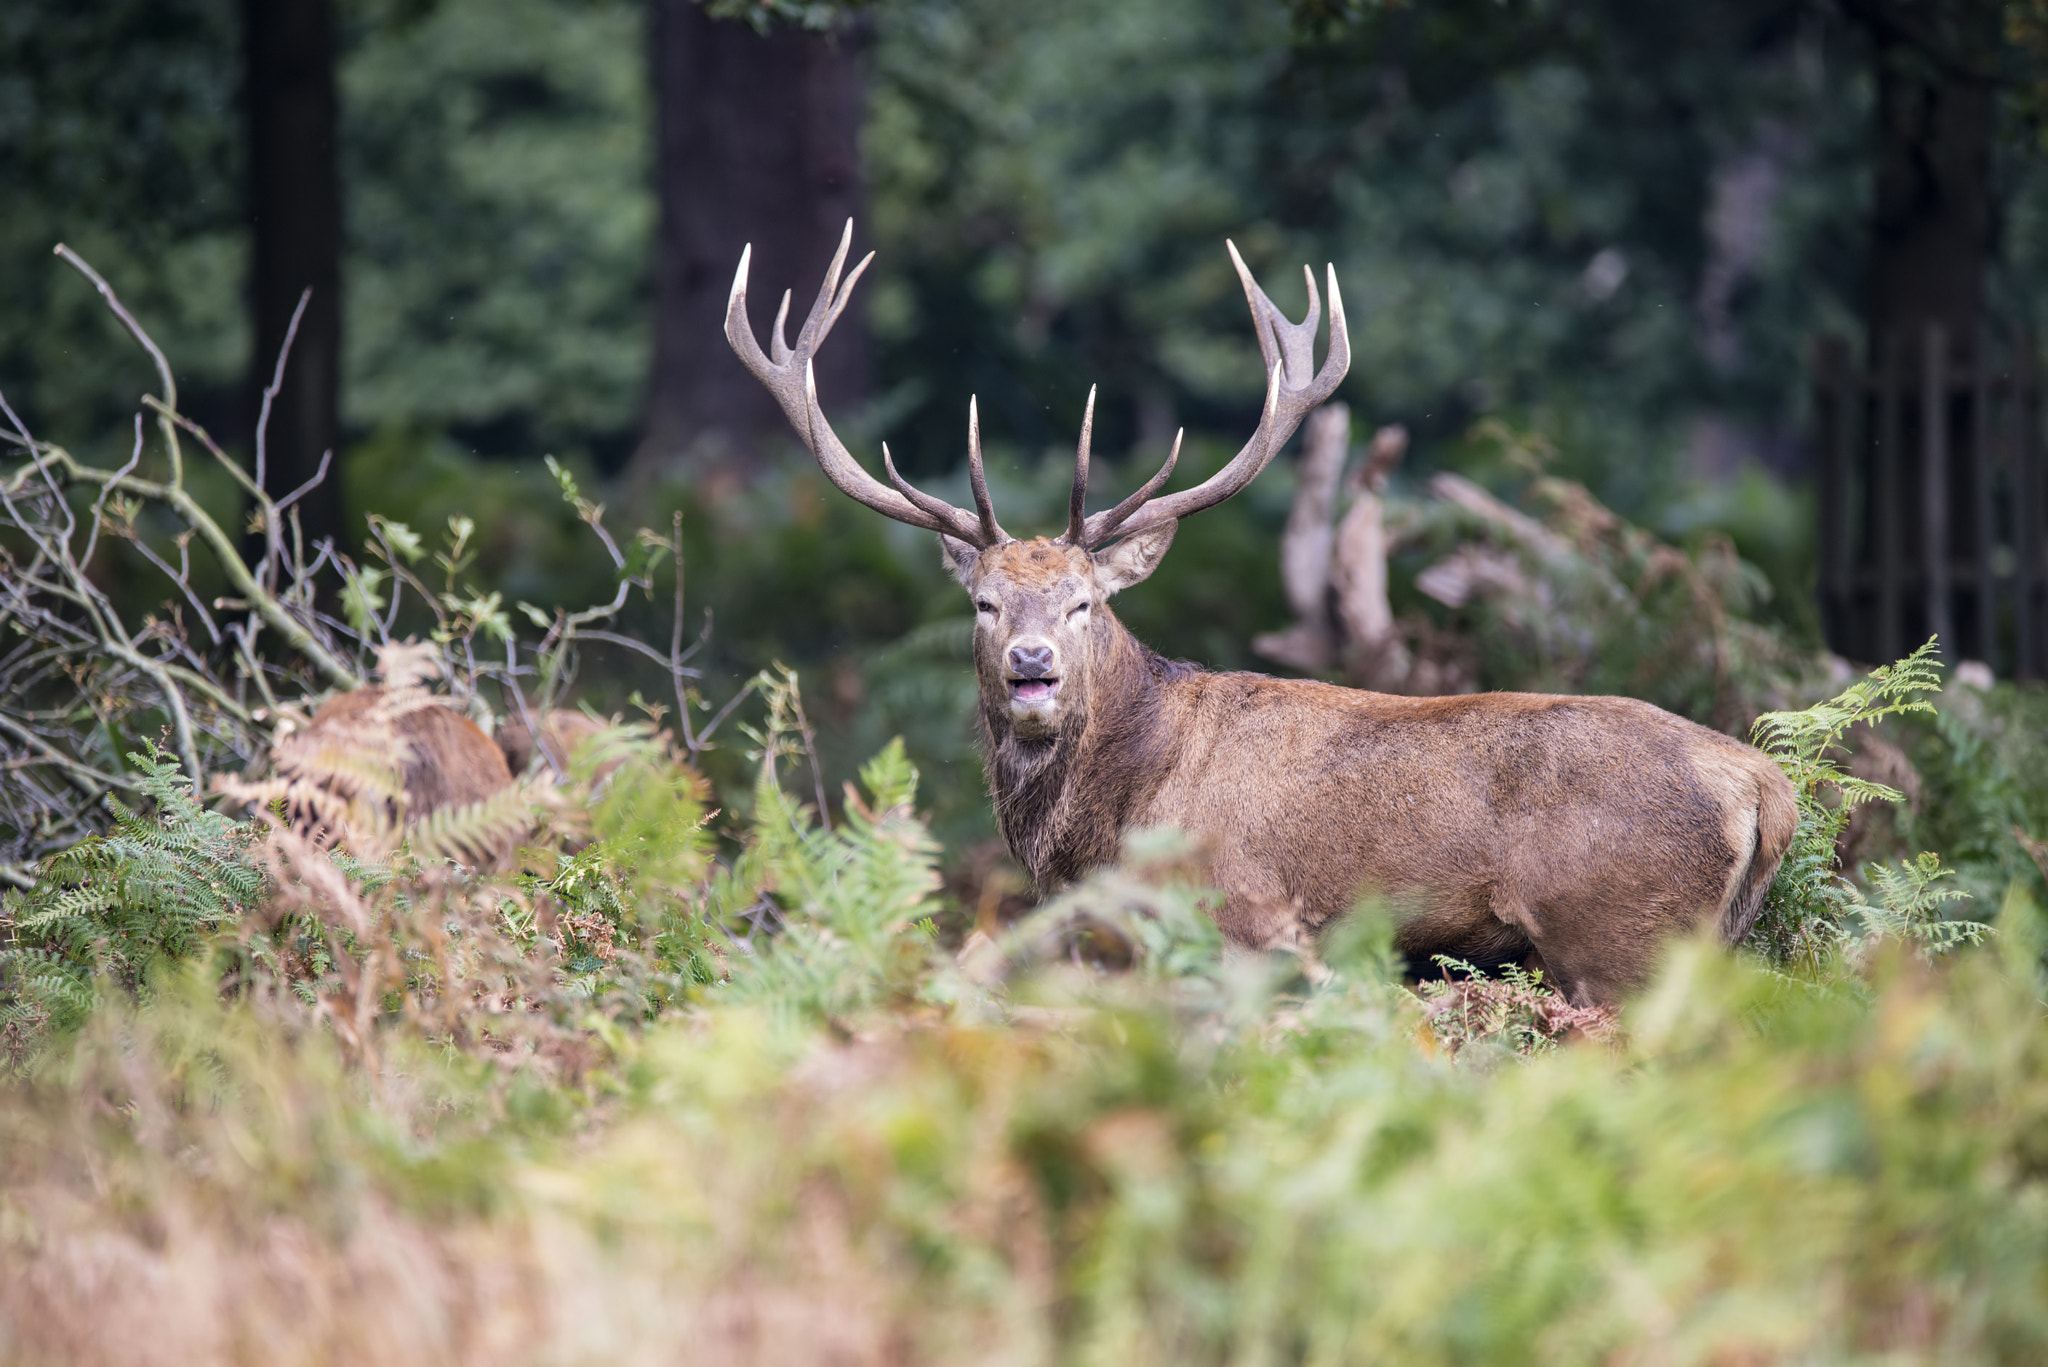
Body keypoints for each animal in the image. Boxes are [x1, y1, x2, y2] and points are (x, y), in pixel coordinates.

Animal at [725, 221, 1797, 1007]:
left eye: (1083, 602)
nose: (1032, 665)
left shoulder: (1241, 923)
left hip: (1621, 936)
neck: (1105, 824)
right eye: (985, 602)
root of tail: (1766, 787)